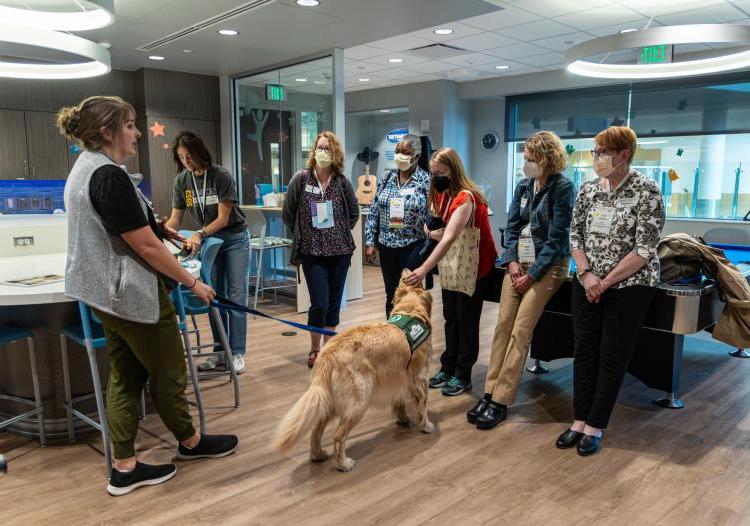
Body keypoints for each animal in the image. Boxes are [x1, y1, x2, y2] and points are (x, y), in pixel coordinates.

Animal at [276, 272, 434, 474]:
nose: (408, 271)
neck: (410, 311)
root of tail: (327, 356)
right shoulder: (420, 378)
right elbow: (423, 406)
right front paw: (426, 425)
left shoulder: (399, 379)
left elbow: (399, 401)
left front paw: (402, 419)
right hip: (358, 402)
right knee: (338, 436)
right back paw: (343, 464)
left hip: (330, 401)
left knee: (316, 430)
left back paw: (318, 455)